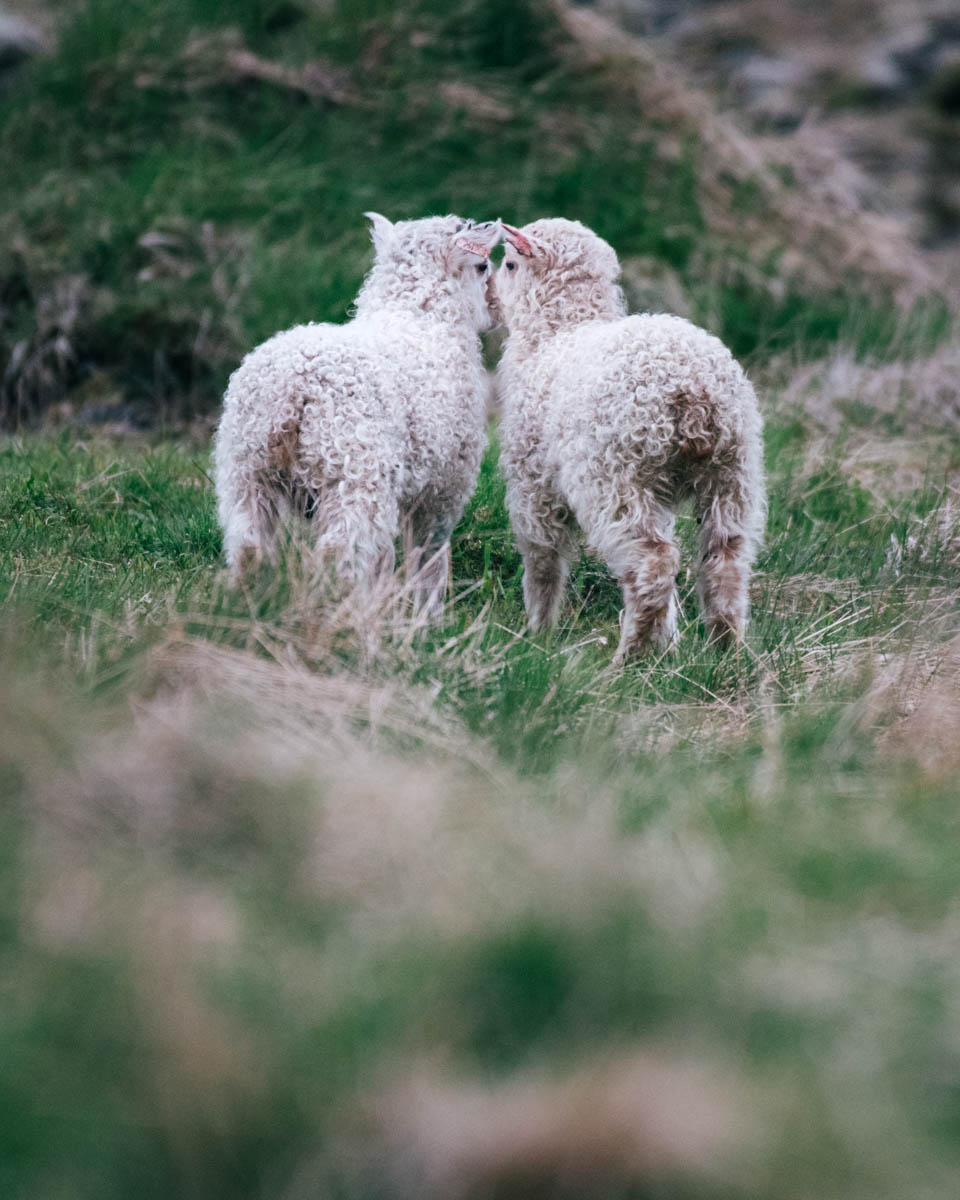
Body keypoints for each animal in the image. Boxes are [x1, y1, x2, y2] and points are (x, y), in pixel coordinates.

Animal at [216, 210, 501, 614]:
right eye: (482, 266)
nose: (496, 309)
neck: (420, 317)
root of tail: (294, 387)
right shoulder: (446, 482)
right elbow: (429, 552)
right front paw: (428, 616)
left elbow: (387, 557)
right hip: (355, 470)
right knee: (340, 552)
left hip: (246, 470)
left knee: (249, 545)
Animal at [494, 220, 763, 662]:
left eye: (510, 263)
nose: (489, 296)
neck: (558, 332)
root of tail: (693, 391)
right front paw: (669, 638)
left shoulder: (532, 480)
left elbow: (542, 557)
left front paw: (538, 634)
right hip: (732, 472)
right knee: (725, 559)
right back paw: (725, 651)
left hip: (616, 475)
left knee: (653, 562)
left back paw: (630, 658)